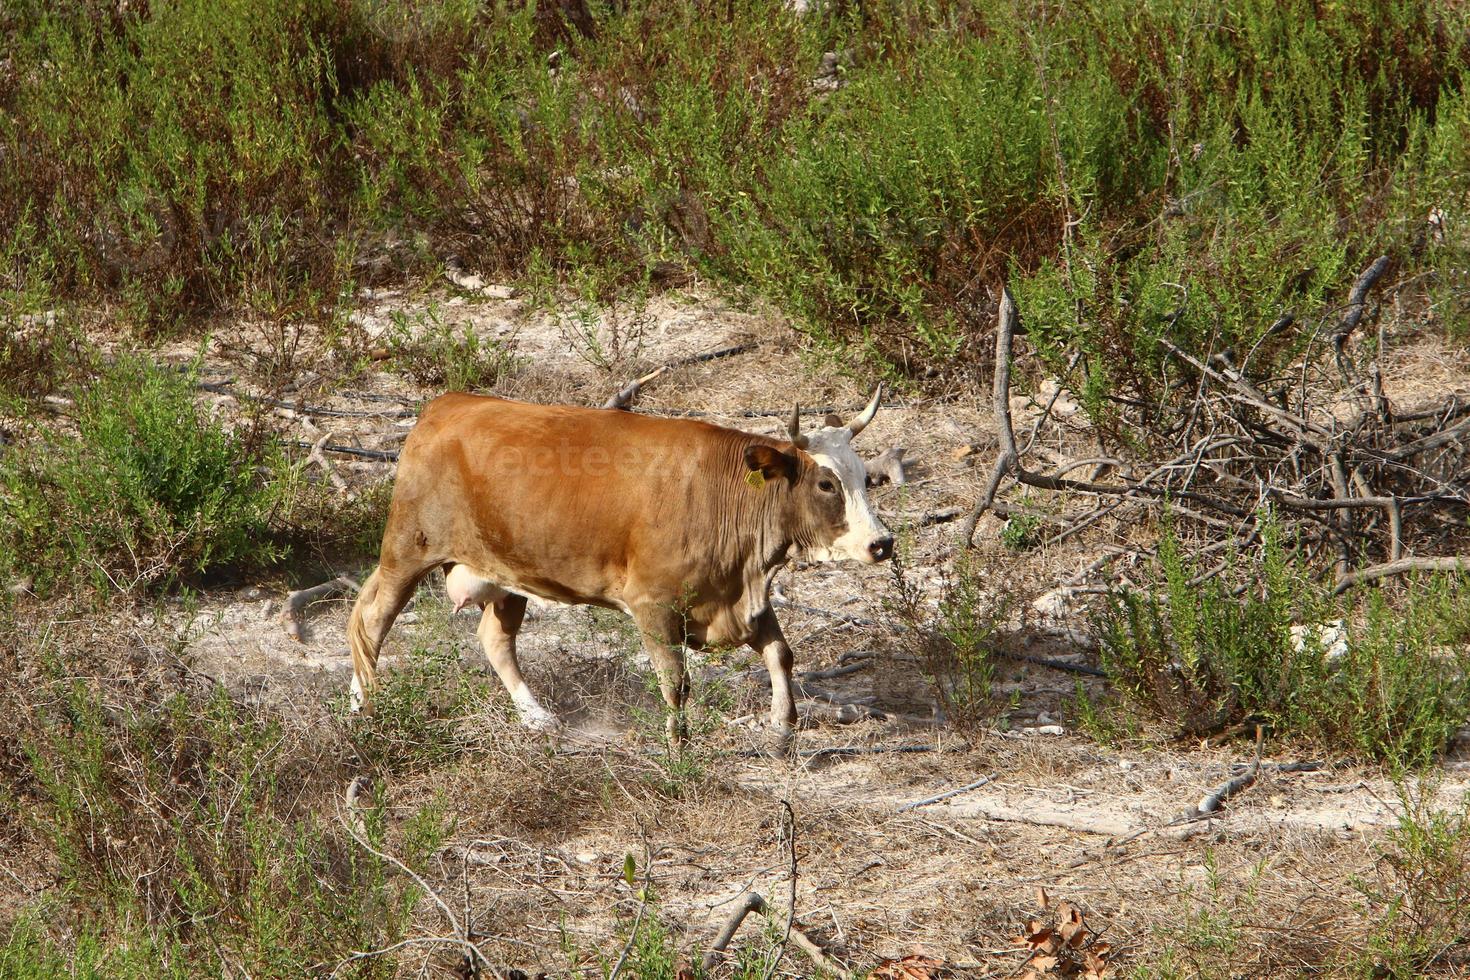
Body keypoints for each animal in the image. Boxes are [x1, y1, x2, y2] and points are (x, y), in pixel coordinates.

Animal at [348, 387, 887, 746]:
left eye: (864, 477)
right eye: (826, 484)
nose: (882, 543)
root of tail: (448, 403)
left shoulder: (738, 597)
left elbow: (780, 654)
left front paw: (782, 726)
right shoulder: (654, 605)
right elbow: (676, 683)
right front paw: (677, 747)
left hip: (508, 573)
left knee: (493, 638)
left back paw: (535, 716)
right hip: (407, 550)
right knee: (372, 622)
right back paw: (364, 708)